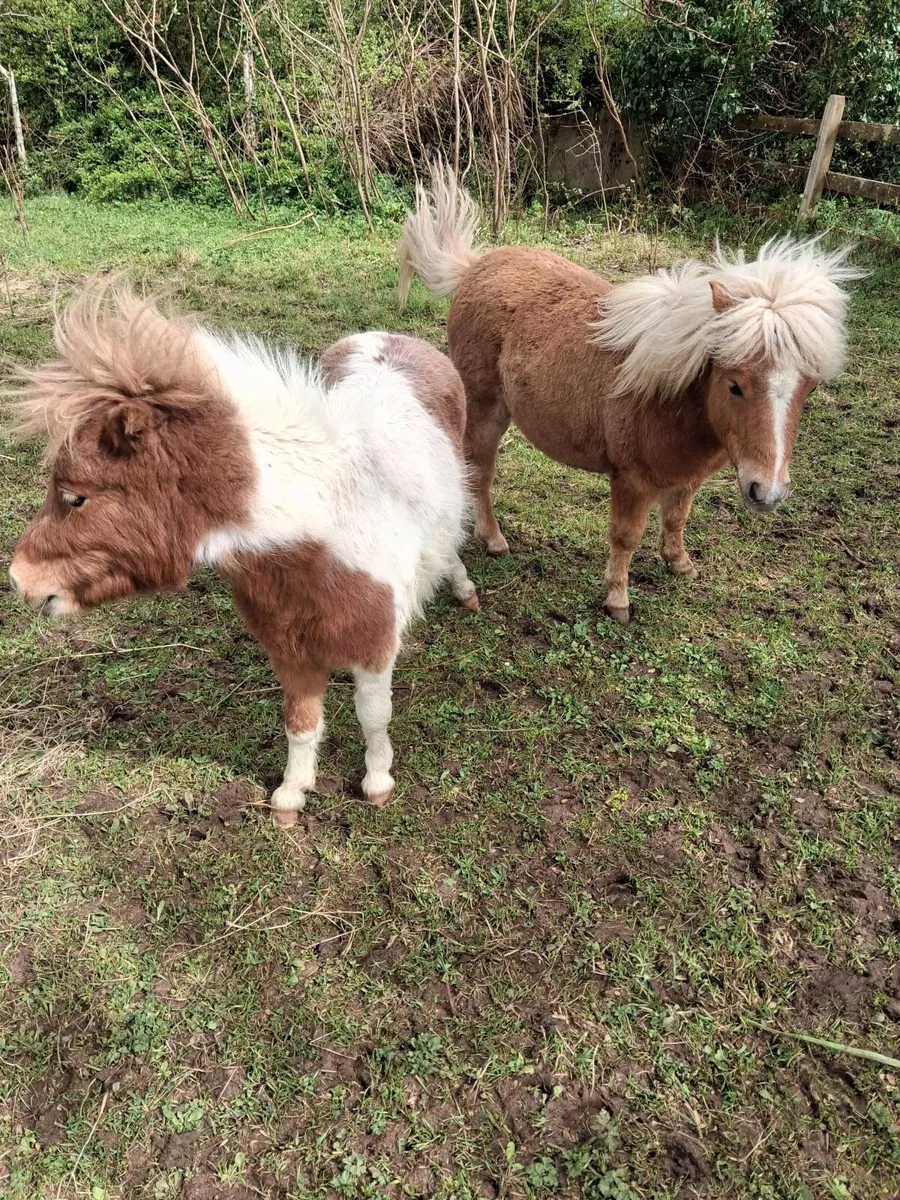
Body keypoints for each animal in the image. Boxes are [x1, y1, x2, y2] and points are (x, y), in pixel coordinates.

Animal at [8, 282, 480, 827]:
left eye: (76, 496)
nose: (19, 579)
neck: (323, 531)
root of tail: (395, 337)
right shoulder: (289, 649)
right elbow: (301, 722)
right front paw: (291, 796)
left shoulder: (375, 645)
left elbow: (374, 715)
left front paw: (378, 782)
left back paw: (464, 587)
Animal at [398, 163, 862, 621]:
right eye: (735, 386)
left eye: (809, 388)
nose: (767, 493)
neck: (672, 398)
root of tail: (475, 267)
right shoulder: (632, 481)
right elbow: (625, 537)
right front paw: (618, 599)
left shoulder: (687, 477)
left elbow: (676, 520)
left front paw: (679, 563)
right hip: (485, 412)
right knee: (479, 472)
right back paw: (492, 540)